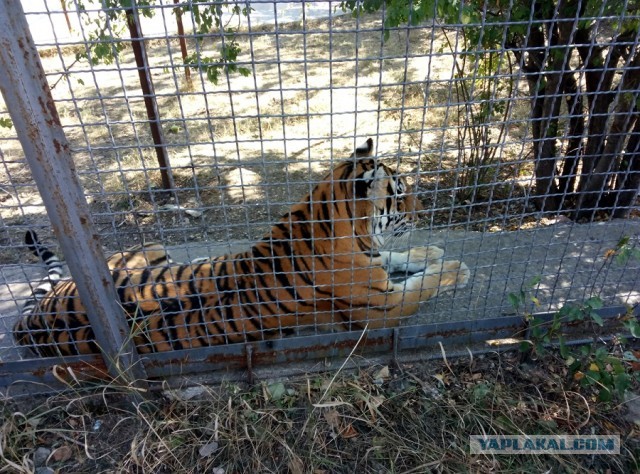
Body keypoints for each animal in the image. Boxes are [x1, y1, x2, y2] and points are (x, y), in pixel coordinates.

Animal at [14, 138, 470, 356]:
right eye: (402, 194)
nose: (424, 210)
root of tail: (30, 322)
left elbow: (397, 255)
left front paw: (429, 253)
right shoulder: (382, 310)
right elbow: (423, 286)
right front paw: (456, 268)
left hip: (154, 248)